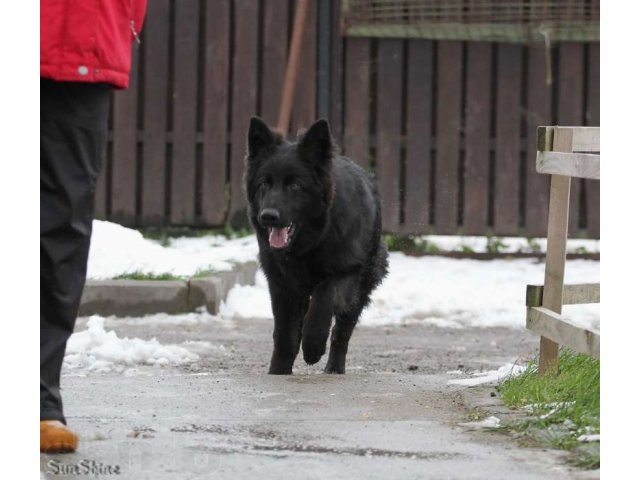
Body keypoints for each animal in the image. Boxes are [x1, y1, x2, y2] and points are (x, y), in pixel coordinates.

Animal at [244, 117, 384, 376]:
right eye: (264, 184)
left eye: (295, 186)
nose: (267, 216)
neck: (309, 244)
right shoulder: (281, 285)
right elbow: (284, 334)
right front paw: (278, 370)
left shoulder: (349, 273)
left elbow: (324, 295)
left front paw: (313, 345)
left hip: (362, 286)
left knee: (342, 332)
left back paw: (334, 368)